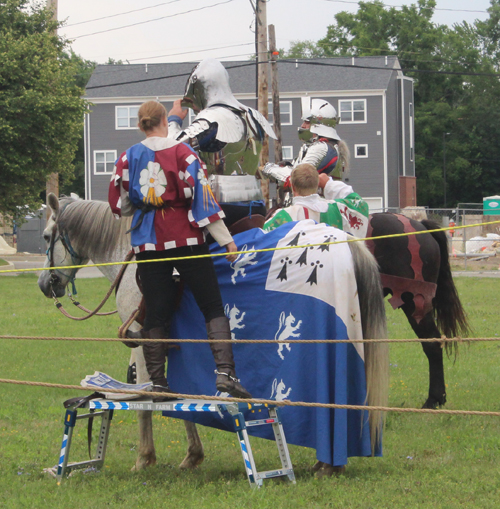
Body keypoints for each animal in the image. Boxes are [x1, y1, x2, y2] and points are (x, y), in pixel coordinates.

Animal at [40, 192, 390, 474]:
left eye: (45, 237)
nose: (46, 285)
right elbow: (179, 395)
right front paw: (192, 455)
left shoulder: (143, 338)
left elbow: (147, 397)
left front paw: (144, 458)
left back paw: (328, 462)